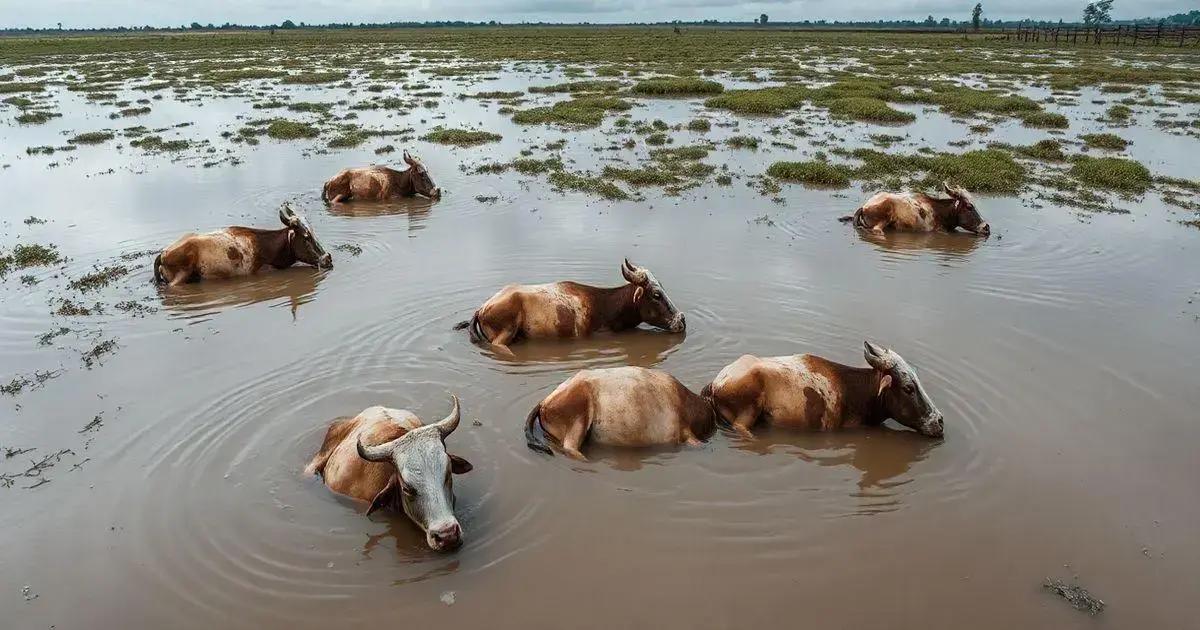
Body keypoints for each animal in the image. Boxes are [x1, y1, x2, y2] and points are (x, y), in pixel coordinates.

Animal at [839, 182, 990, 236]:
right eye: (969, 206)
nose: (986, 227)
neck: (940, 211)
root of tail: (864, 206)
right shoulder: (939, 231)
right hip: (883, 220)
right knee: (876, 231)